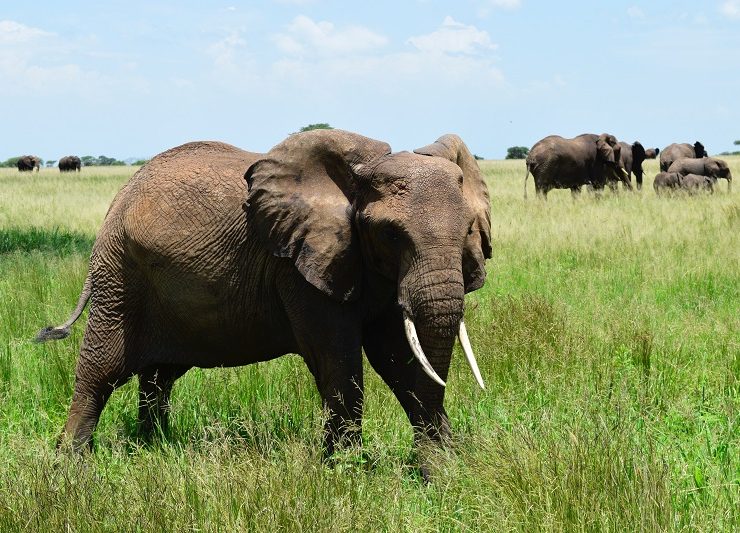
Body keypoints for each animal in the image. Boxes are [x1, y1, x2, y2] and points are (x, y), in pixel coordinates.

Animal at [34, 130, 492, 479]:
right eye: (392, 234)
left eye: (469, 230)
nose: (432, 470)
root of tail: (117, 200)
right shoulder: (298, 265)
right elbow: (338, 360)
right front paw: (346, 472)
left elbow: (399, 358)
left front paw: (441, 472)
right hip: (120, 277)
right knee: (101, 369)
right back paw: (70, 465)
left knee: (159, 377)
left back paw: (155, 445)